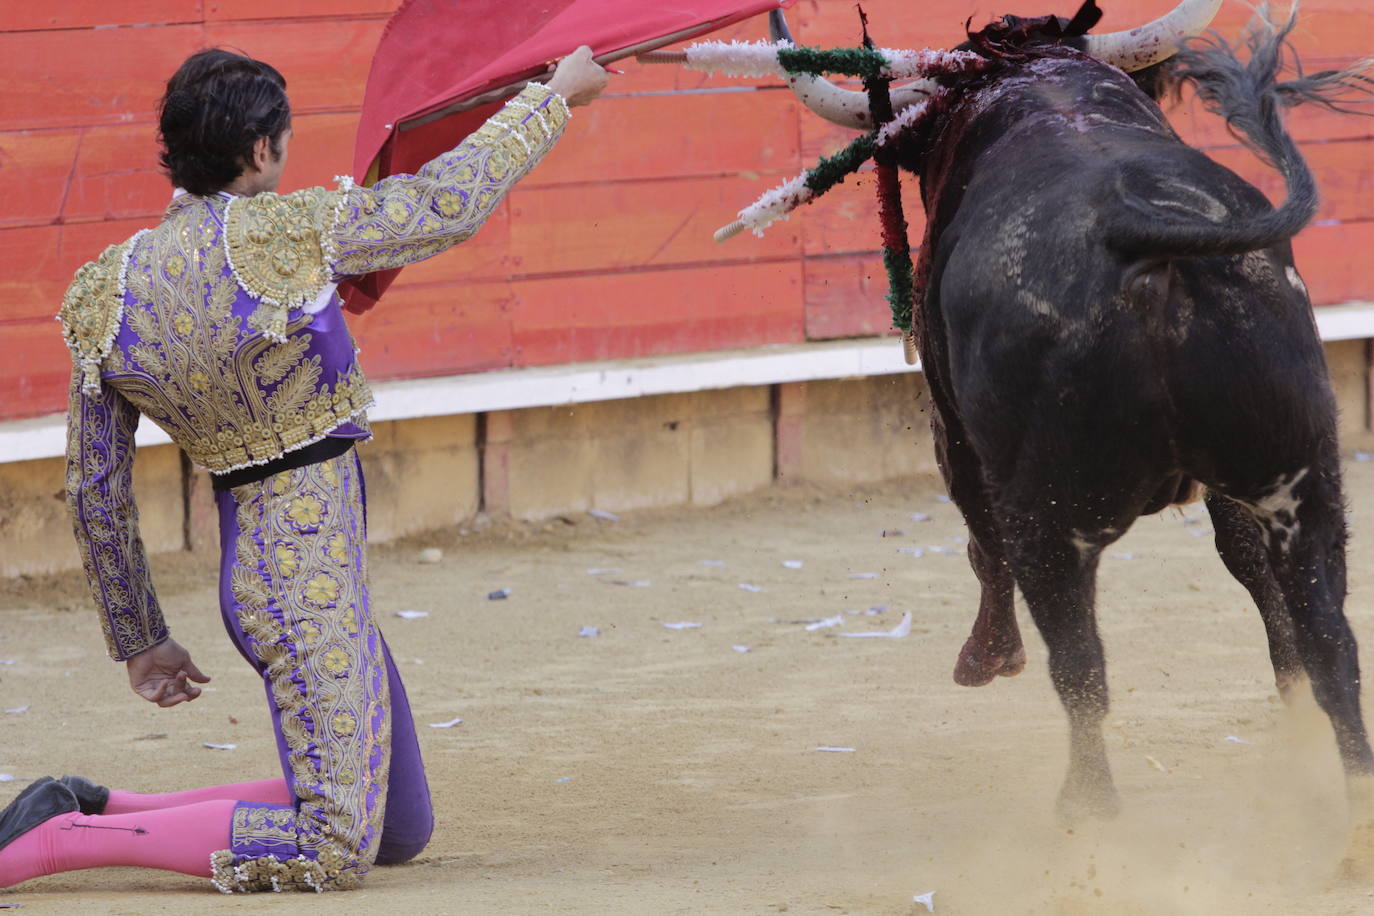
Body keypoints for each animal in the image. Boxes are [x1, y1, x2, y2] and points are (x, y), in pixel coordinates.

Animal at [763, 0, 1374, 818]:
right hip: (1302, 480)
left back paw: (1086, 813)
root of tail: (1142, 240)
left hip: (1049, 510)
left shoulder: (956, 434)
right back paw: (1350, 802)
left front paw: (987, 658)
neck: (1047, 90)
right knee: (1330, 638)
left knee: (1078, 660)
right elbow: (1246, 562)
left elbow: (981, 542)